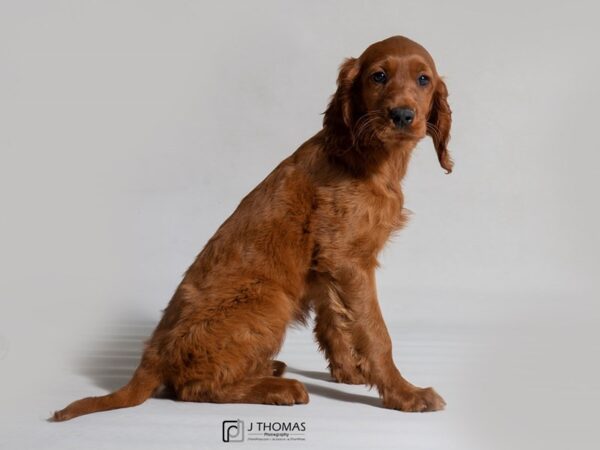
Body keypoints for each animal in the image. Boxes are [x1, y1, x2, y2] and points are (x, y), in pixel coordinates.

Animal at [52, 36, 454, 422]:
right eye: (378, 76)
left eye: (423, 79)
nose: (402, 115)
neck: (367, 156)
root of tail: (151, 358)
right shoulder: (347, 260)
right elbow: (375, 332)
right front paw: (405, 394)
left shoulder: (328, 267)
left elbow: (335, 324)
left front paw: (352, 373)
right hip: (270, 300)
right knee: (190, 388)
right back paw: (278, 388)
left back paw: (267, 370)